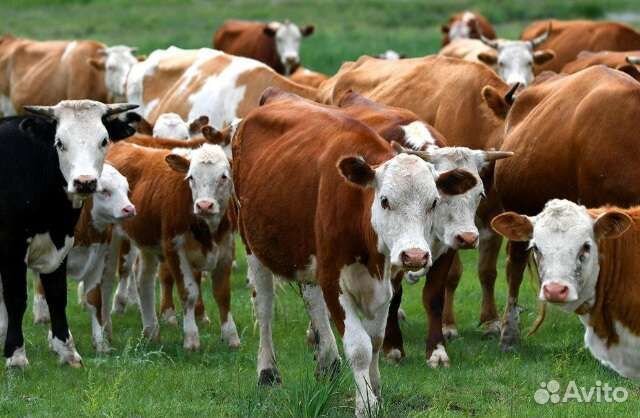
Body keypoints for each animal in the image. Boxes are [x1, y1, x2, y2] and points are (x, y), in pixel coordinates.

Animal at [0, 100, 136, 367]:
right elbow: (16, 299)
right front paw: (16, 356)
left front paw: (66, 351)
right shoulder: (12, 247)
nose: (85, 182)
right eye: (60, 142)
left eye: (104, 140)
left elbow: (57, 295)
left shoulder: (60, 246)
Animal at [106, 142, 240, 351]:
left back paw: (151, 331)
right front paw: (191, 338)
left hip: (147, 244)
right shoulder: (174, 250)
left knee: (144, 281)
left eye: (223, 176)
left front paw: (231, 337)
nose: (204, 205)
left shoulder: (226, 249)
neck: (206, 229)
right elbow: (189, 292)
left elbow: (223, 294)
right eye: (191, 177)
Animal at [234, 91, 478, 416]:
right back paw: (267, 372)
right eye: (385, 200)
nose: (414, 256)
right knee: (264, 308)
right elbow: (360, 346)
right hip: (252, 245)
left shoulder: (383, 280)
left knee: (311, 299)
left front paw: (375, 388)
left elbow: (375, 339)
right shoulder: (332, 277)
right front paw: (366, 402)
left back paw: (327, 361)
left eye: (434, 202)